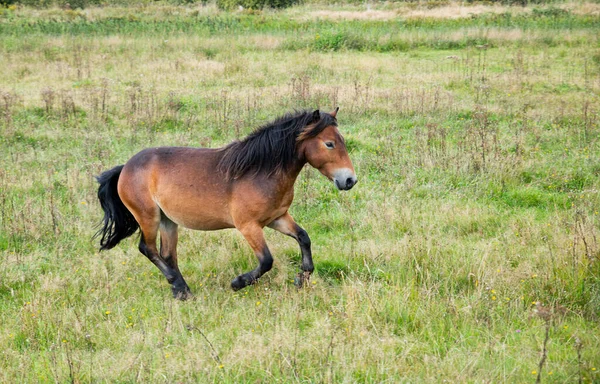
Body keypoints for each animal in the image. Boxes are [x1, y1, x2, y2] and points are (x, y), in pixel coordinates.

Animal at [94, 108, 356, 300]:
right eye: (329, 144)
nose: (349, 180)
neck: (259, 171)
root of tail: (125, 168)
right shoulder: (248, 226)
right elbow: (266, 260)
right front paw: (238, 283)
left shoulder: (277, 218)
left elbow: (304, 237)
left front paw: (302, 278)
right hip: (148, 217)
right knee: (147, 249)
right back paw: (180, 287)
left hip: (168, 221)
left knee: (167, 254)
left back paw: (180, 290)